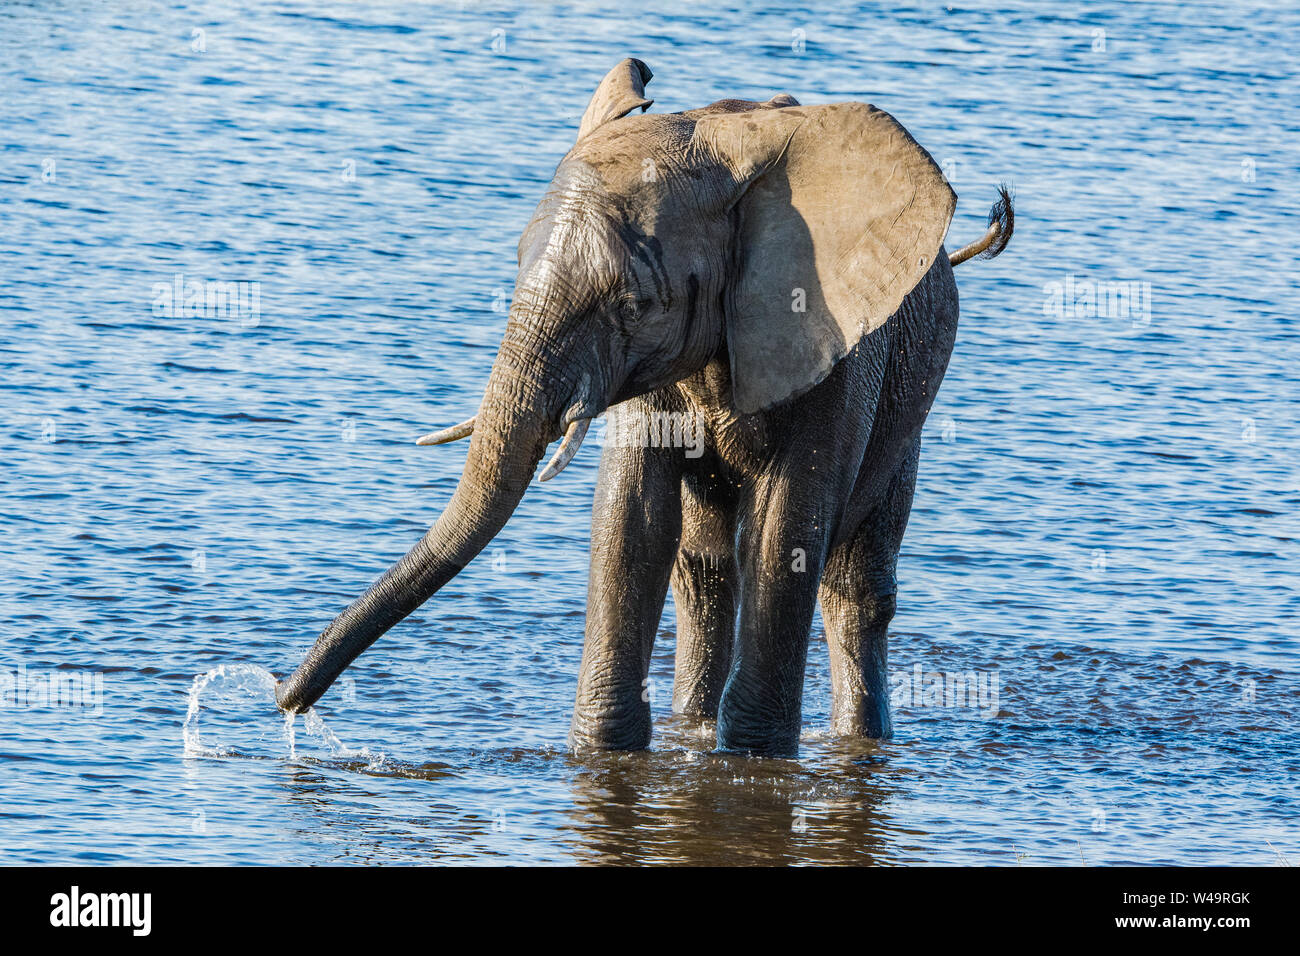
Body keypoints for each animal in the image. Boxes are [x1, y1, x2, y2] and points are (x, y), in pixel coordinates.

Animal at [274, 57, 1008, 764]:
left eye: (634, 305)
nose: (287, 700)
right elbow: (632, 520)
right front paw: (604, 753)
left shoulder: (834, 346)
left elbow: (783, 534)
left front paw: (753, 757)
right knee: (703, 572)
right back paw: (695, 728)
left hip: (908, 412)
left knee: (853, 590)